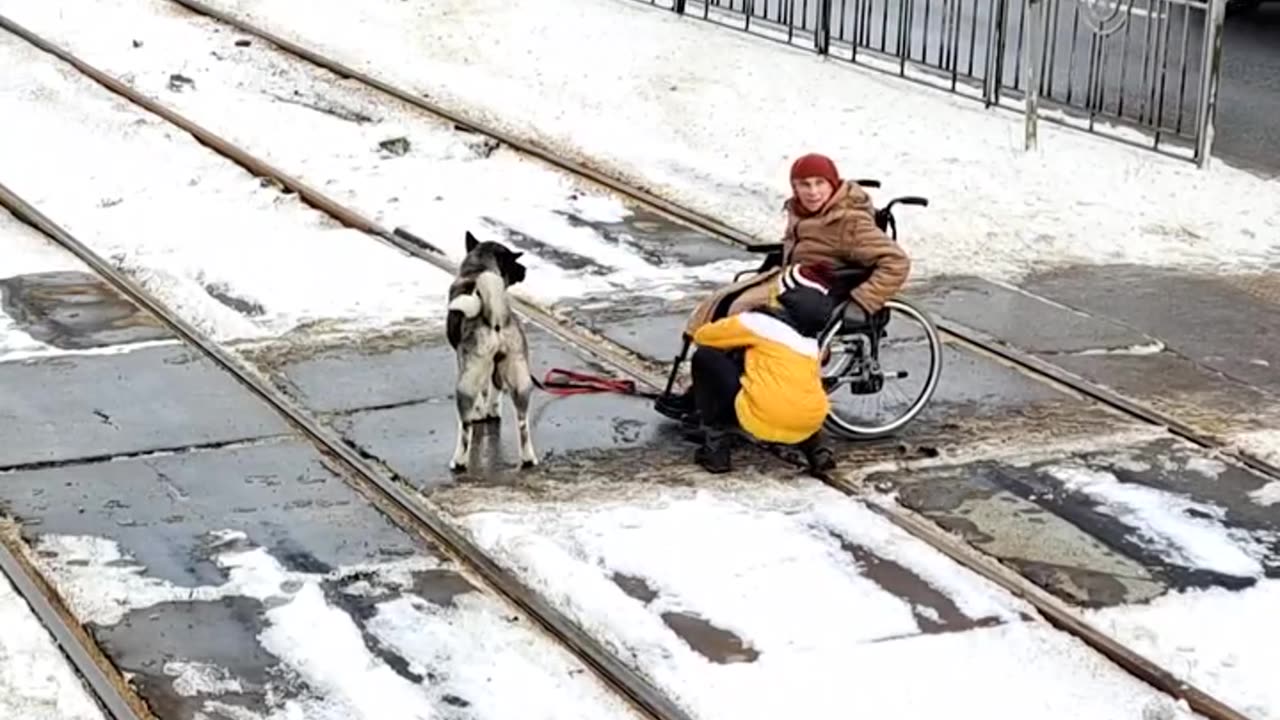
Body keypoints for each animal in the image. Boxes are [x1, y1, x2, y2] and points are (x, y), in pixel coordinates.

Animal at [448, 229, 537, 471]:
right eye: (515, 261)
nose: (525, 269)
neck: (480, 267)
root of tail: (495, 319)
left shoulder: (463, 363)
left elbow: (481, 395)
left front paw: (481, 413)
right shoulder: (496, 369)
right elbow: (495, 391)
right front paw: (492, 412)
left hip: (465, 384)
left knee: (465, 429)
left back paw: (459, 461)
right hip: (521, 381)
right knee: (523, 424)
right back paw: (528, 458)